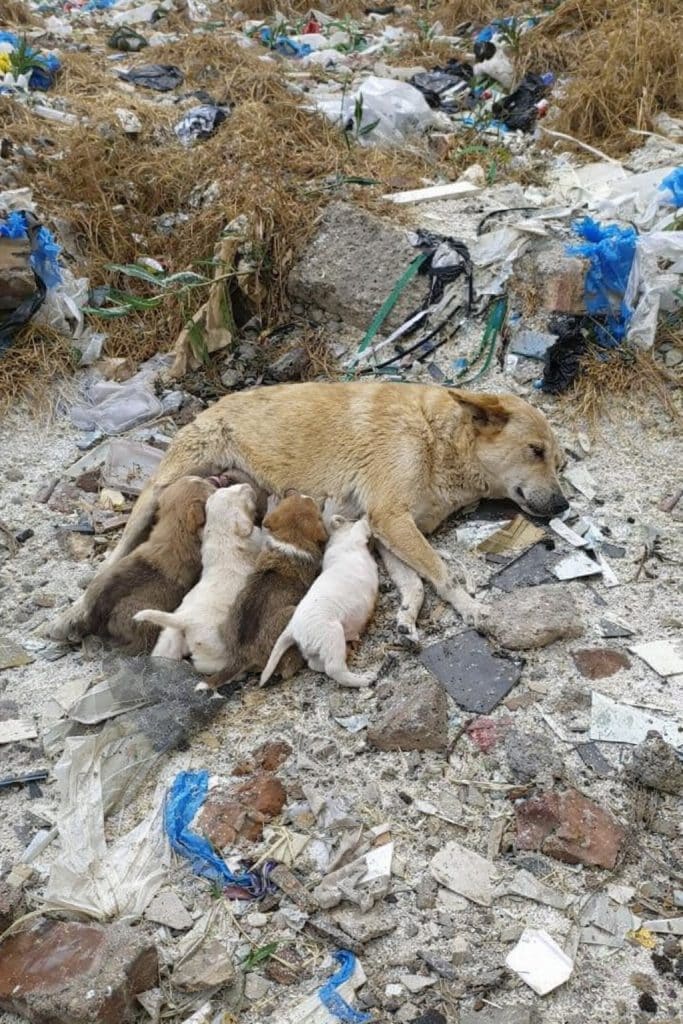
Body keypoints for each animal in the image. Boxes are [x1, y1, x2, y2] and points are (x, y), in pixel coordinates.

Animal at [133, 483, 262, 673]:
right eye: (239, 494)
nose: (247, 485)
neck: (221, 532)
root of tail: (184, 620)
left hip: (170, 636)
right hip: (214, 653)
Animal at [203, 492, 328, 690]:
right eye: (313, 505)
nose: (294, 491)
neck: (291, 539)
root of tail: (241, 655)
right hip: (291, 614)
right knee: (286, 669)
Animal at [260, 514, 378, 689]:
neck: (339, 539)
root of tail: (292, 628)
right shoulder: (354, 539)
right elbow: (360, 527)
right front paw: (365, 519)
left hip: (318, 647)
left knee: (315, 664)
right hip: (332, 634)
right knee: (334, 669)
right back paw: (363, 679)